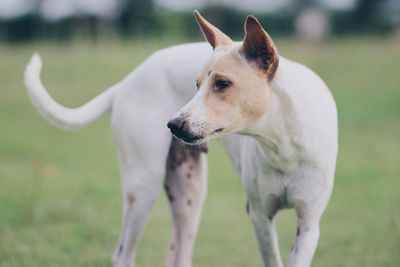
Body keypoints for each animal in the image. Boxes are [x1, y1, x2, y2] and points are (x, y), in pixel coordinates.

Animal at [24, 11, 338, 267]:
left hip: (189, 194)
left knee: (178, 255)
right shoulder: (260, 216)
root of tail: (127, 81)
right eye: (196, 85)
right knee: (123, 255)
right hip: (144, 187)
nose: (173, 124)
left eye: (222, 84)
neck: (281, 142)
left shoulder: (308, 225)